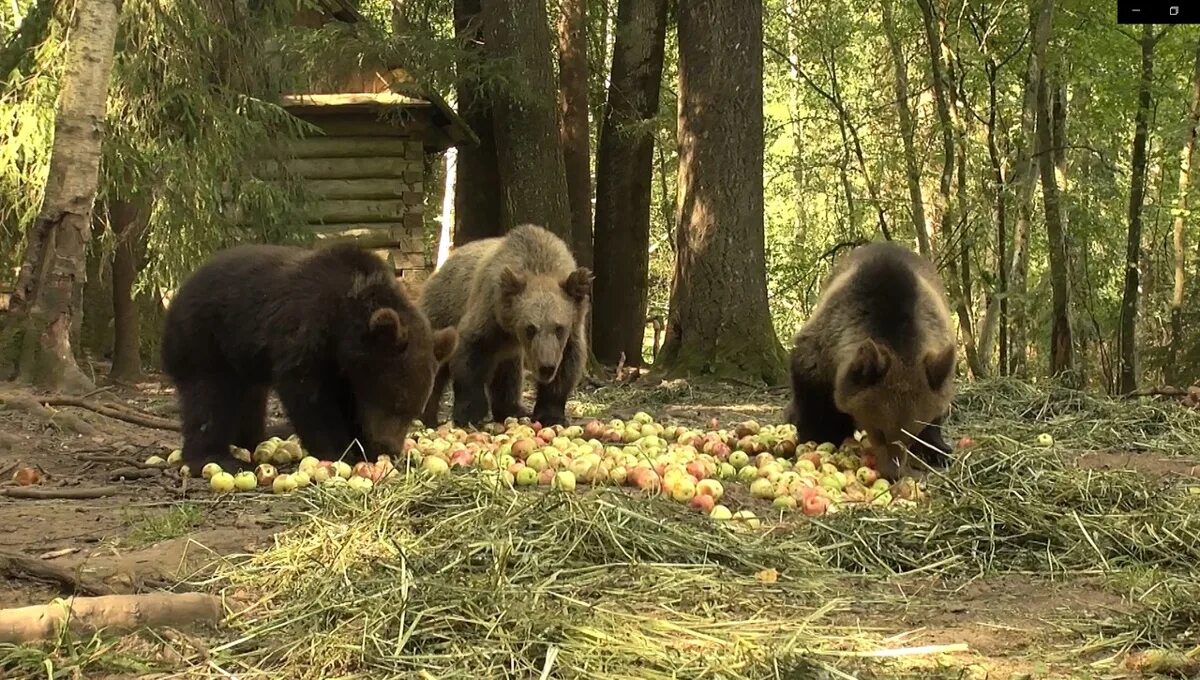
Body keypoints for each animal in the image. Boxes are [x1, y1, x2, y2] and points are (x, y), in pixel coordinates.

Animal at [159, 243, 453, 472]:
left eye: (413, 411)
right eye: (395, 402)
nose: (389, 446)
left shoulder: (347, 369)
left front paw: (364, 447)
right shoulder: (305, 332)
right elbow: (310, 397)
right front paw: (339, 449)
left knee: (250, 400)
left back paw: (249, 440)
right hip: (205, 339)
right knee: (209, 397)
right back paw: (216, 456)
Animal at [420, 224, 592, 426]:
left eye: (559, 328)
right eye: (530, 328)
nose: (546, 367)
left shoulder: (570, 332)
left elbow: (566, 367)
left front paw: (551, 415)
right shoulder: (489, 314)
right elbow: (470, 358)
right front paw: (469, 414)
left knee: (508, 374)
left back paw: (513, 410)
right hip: (442, 312)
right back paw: (425, 416)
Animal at [787, 242, 955, 482]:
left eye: (911, 435)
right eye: (880, 431)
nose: (893, 473)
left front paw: (936, 450)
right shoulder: (822, 348)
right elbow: (814, 397)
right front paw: (820, 435)